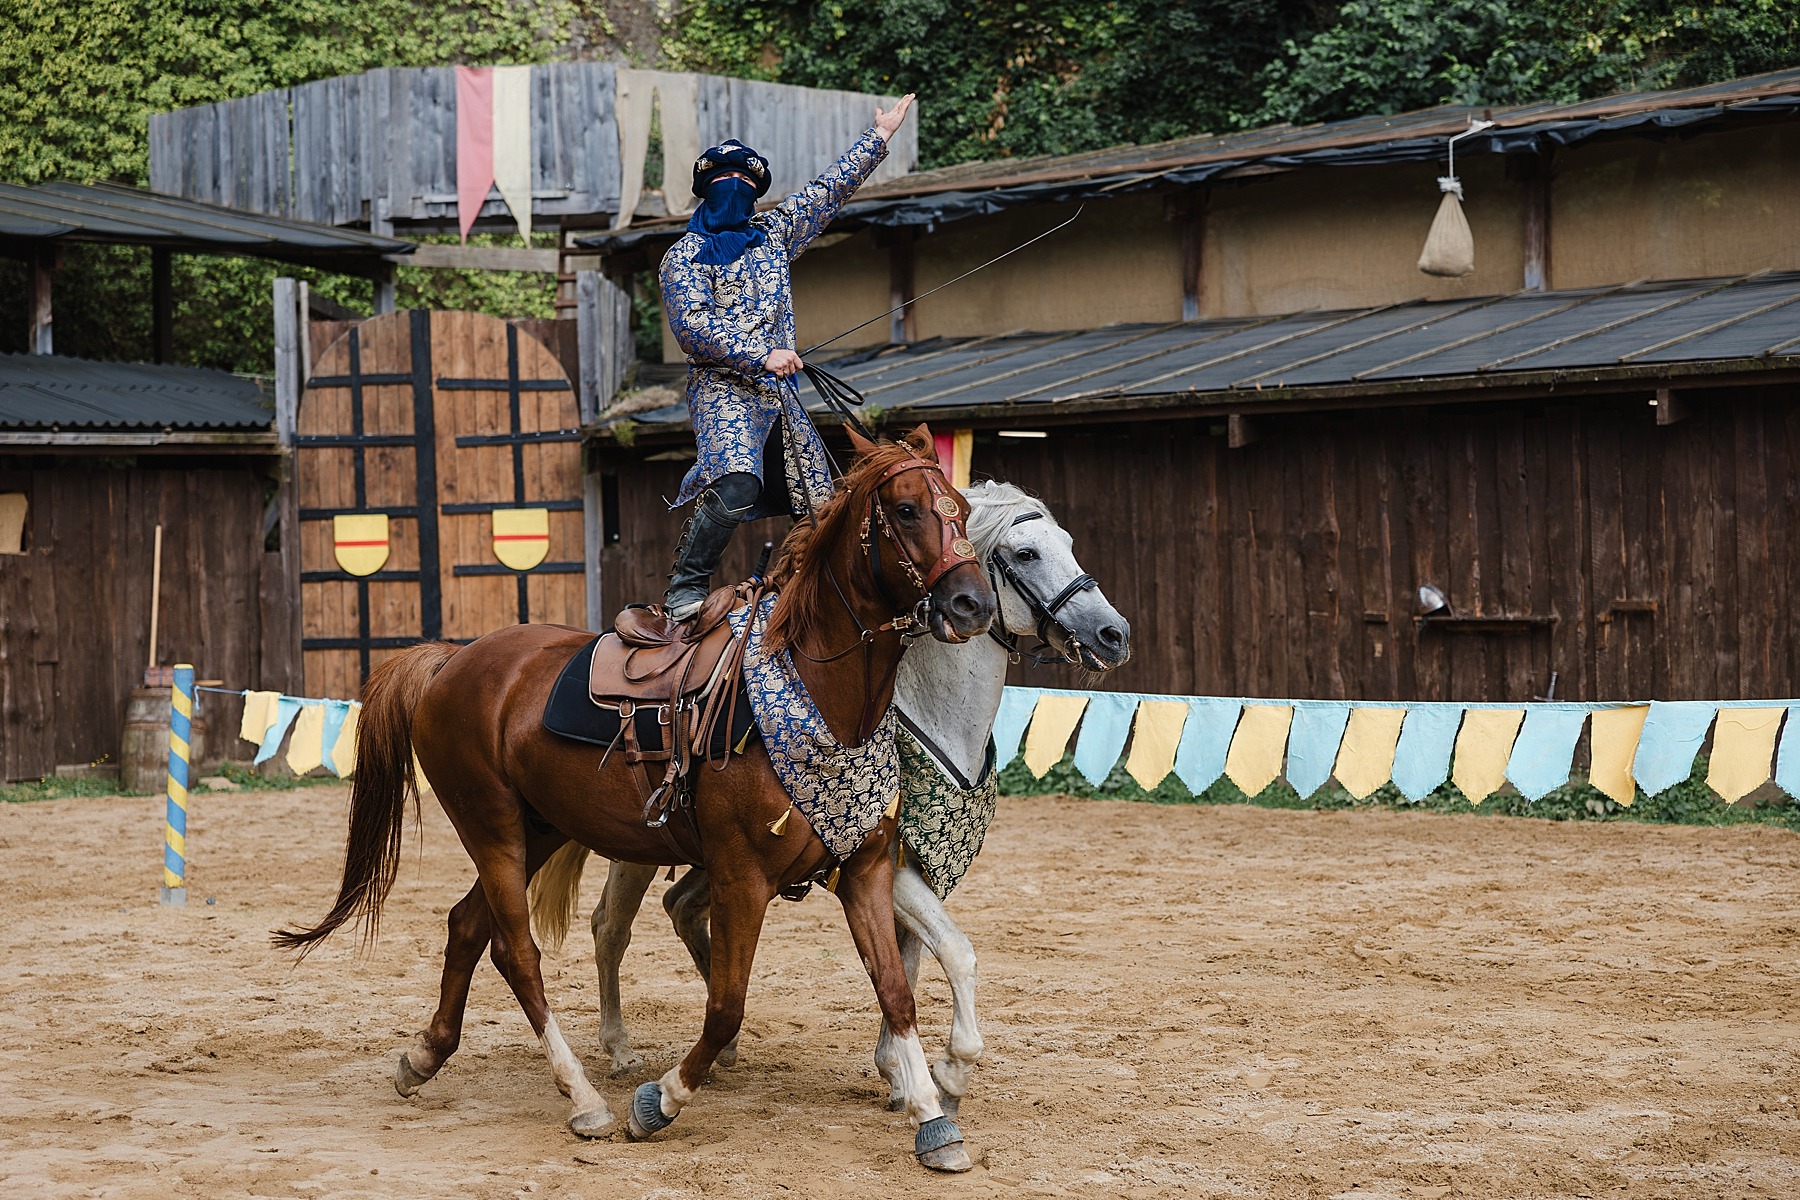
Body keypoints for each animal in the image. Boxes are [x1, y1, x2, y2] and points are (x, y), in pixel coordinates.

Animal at [277, 429, 1000, 1173]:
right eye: (907, 509)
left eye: (961, 505)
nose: (972, 604)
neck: (817, 697)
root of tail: (453, 659)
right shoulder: (743, 878)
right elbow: (727, 1004)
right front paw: (660, 1102)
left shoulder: (865, 868)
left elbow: (895, 990)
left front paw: (931, 1117)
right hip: (492, 828)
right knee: (517, 952)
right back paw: (584, 1097)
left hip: (538, 830)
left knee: (467, 926)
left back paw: (425, 1056)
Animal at [525, 478, 1130, 1115]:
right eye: (1025, 554)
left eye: (1067, 543)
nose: (1113, 634)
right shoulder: (891, 868)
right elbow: (955, 952)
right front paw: (946, 1070)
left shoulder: (899, 870)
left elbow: (909, 962)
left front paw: (903, 1073)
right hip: (639, 846)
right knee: (610, 927)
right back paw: (618, 1048)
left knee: (680, 907)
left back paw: (723, 1044)